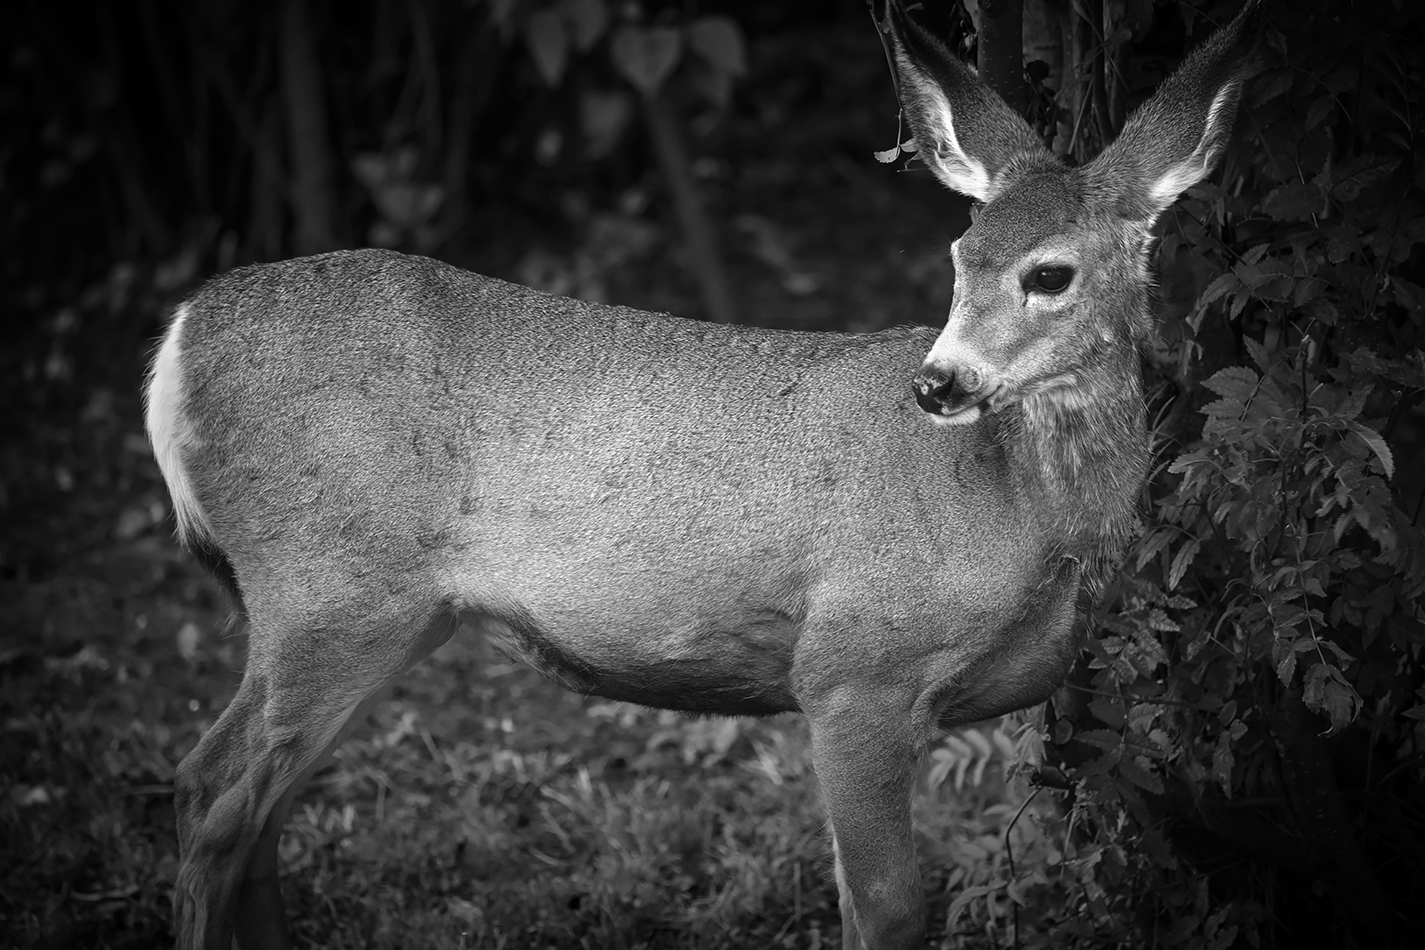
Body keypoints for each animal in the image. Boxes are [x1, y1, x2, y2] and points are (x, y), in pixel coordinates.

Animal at [145, 1, 1262, 947]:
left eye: (1050, 272)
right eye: (960, 253)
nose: (938, 382)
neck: (1021, 515)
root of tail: (180, 342)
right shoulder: (852, 666)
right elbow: (889, 905)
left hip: (378, 611)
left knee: (257, 811)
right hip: (330, 587)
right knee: (208, 793)